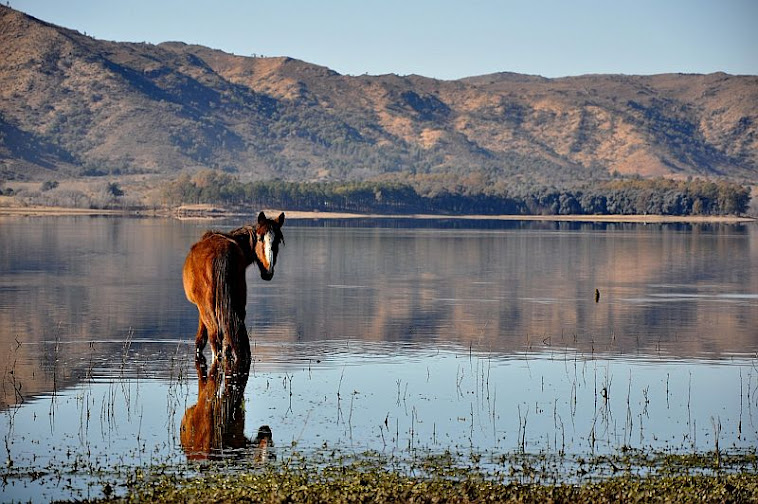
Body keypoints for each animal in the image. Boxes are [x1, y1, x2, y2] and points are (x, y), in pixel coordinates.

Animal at [183, 211, 284, 360]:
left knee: (215, 339)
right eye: (260, 239)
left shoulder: (200, 309)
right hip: (238, 303)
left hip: (207, 308)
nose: (268, 271)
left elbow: (200, 341)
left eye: (278, 241)